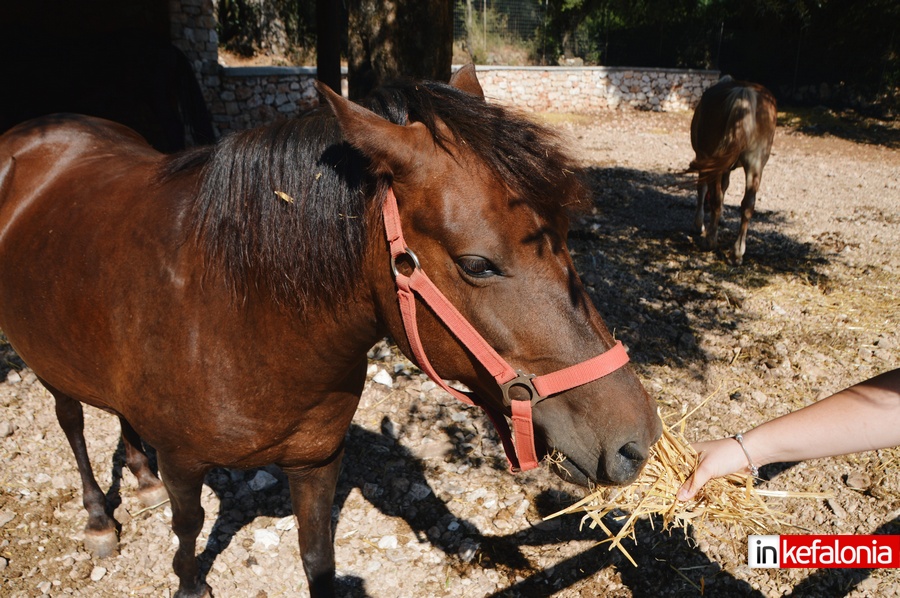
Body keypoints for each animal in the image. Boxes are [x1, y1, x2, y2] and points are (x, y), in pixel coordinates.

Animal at [0, 67, 660, 598]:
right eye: (477, 264)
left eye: (567, 238)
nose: (638, 441)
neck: (237, 318)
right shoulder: (185, 463)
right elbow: (188, 531)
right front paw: (187, 578)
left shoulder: (317, 461)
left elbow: (317, 557)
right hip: (45, 359)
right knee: (72, 422)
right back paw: (99, 518)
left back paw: (140, 479)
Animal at [688, 75, 772, 264]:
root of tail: (744, 92)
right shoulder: (724, 167)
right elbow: (724, 187)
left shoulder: (704, 158)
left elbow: (703, 188)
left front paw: (699, 224)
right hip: (755, 166)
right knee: (748, 205)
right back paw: (737, 253)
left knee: (716, 199)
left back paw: (710, 241)